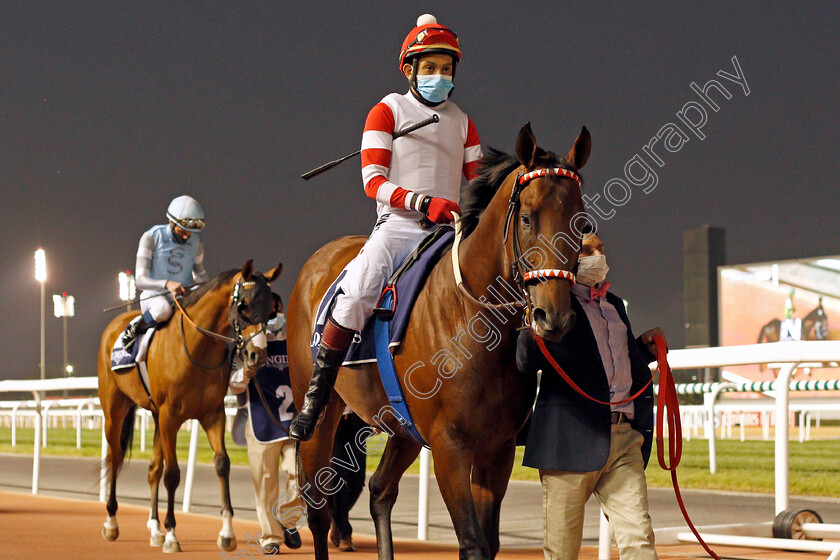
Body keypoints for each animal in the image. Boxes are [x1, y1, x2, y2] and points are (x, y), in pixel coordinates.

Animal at [97, 260, 282, 552]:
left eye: (271, 308)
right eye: (244, 305)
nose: (257, 355)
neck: (198, 348)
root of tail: (115, 324)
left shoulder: (213, 414)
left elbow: (222, 464)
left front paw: (227, 533)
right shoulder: (171, 416)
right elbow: (172, 474)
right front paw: (172, 534)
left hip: (154, 414)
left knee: (153, 469)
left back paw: (154, 529)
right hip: (114, 410)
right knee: (114, 458)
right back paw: (112, 522)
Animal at [288, 124, 592, 556]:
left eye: (581, 223)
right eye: (527, 218)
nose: (554, 317)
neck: (473, 321)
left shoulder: (496, 449)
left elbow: (489, 542)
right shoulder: (450, 447)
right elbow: (473, 543)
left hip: (402, 428)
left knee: (380, 491)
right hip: (323, 415)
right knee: (318, 509)